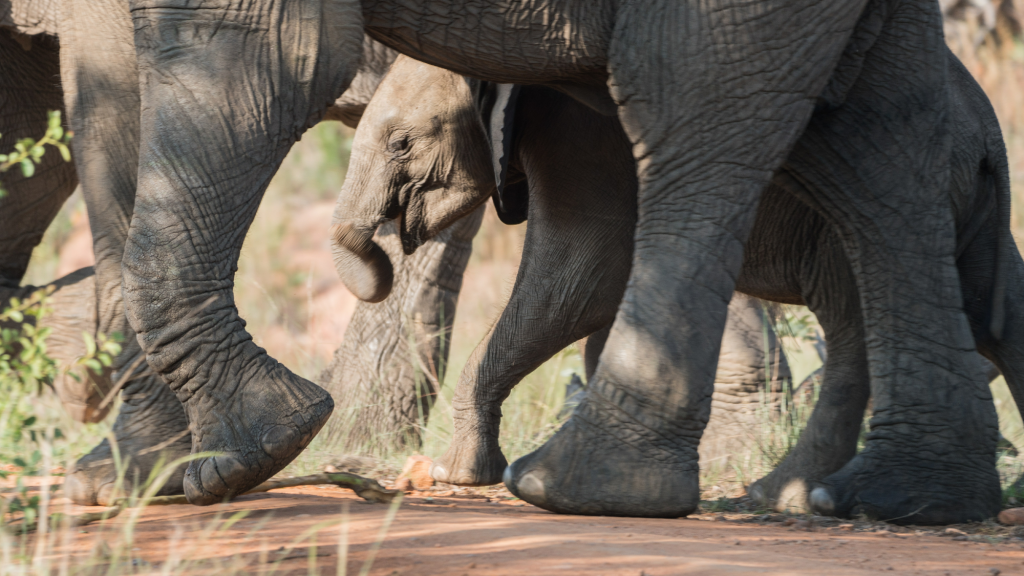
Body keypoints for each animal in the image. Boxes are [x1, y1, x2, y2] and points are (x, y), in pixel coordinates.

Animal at [333, 39, 1017, 520]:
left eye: (401, 144)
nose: (383, 259)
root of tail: (990, 136)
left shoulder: (586, 140)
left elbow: (582, 275)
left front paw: (464, 475)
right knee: (994, 316)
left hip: (852, 221)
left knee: (853, 329)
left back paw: (782, 498)